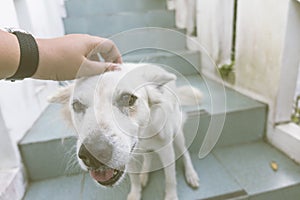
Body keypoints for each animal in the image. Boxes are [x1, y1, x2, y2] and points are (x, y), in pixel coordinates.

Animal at [50, 63, 202, 199]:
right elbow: (134, 179)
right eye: (76, 105)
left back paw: (191, 174)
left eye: (128, 98)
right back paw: (144, 174)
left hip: (177, 133)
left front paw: (171, 196)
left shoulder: (167, 151)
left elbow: (170, 179)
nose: (93, 156)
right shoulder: (129, 158)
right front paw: (136, 193)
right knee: (148, 157)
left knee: (185, 152)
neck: (144, 136)